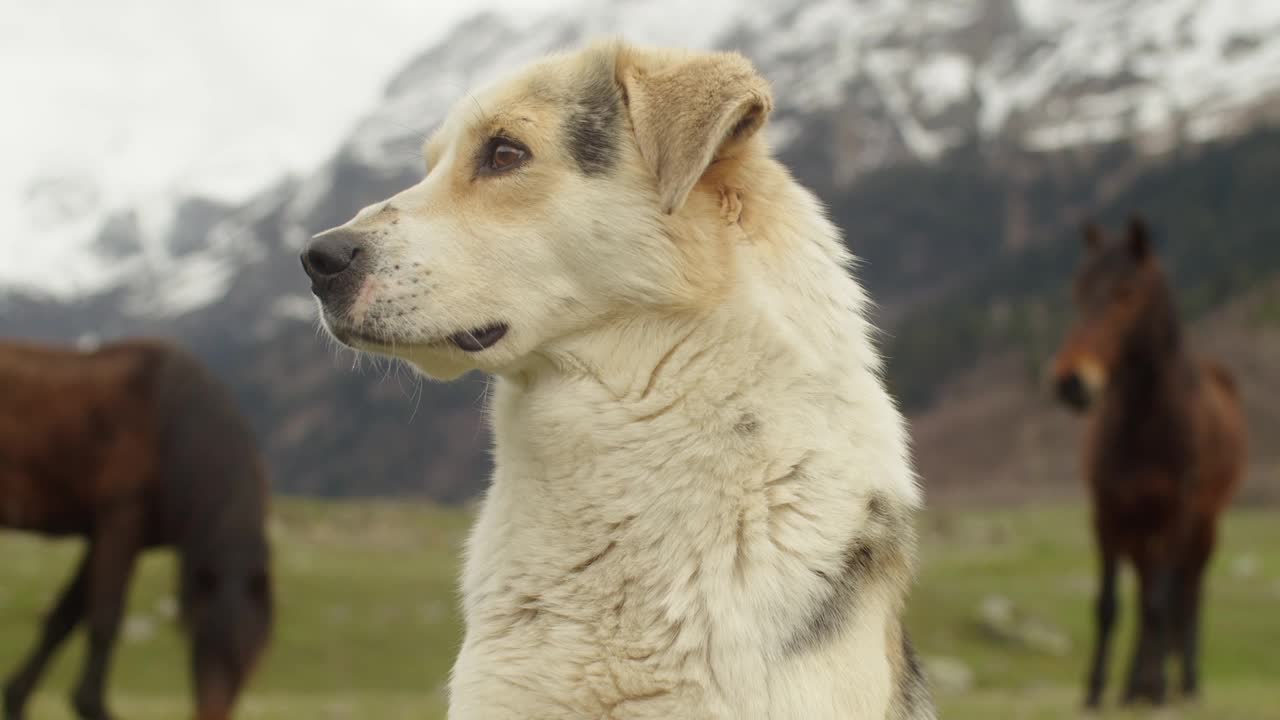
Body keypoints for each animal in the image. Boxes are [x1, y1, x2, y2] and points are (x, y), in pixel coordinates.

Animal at [1, 338, 272, 717]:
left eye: (252, 658)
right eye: (201, 637)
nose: (209, 714)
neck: (170, 430)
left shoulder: (102, 535)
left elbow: (62, 620)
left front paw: (16, 696)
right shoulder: (121, 520)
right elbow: (105, 619)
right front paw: (88, 702)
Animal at [1049, 215, 1249, 702]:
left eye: (1127, 292)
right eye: (1079, 289)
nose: (1072, 382)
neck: (1145, 430)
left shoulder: (1176, 513)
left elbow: (1163, 601)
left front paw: (1158, 688)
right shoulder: (1107, 513)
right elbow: (1109, 604)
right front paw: (1097, 689)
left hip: (1203, 524)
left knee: (1187, 591)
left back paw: (1185, 680)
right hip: (1140, 529)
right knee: (1147, 590)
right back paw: (1134, 684)